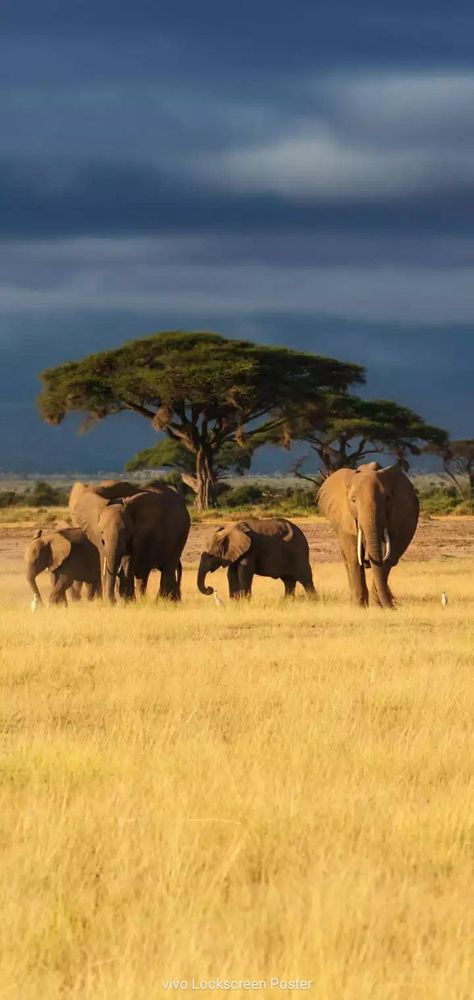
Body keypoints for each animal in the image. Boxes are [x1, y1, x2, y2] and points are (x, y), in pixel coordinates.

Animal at [318, 462, 418, 608]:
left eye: (387, 498)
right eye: (353, 500)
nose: (393, 608)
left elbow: (387, 556)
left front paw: (378, 606)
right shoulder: (345, 518)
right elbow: (354, 556)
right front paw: (359, 607)